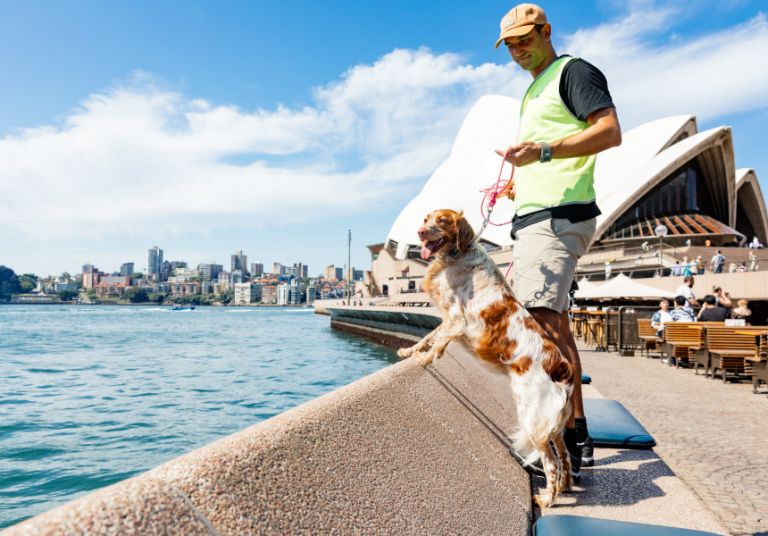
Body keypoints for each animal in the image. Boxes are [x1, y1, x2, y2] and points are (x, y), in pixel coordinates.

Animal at [400, 208, 572, 506]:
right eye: (425, 219)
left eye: (442, 221)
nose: (420, 233)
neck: (455, 256)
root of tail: (560, 366)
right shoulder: (448, 319)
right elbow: (427, 337)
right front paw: (410, 352)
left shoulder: (456, 319)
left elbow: (437, 344)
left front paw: (422, 360)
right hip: (553, 426)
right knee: (565, 456)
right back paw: (564, 489)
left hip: (533, 419)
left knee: (551, 463)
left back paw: (545, 500)